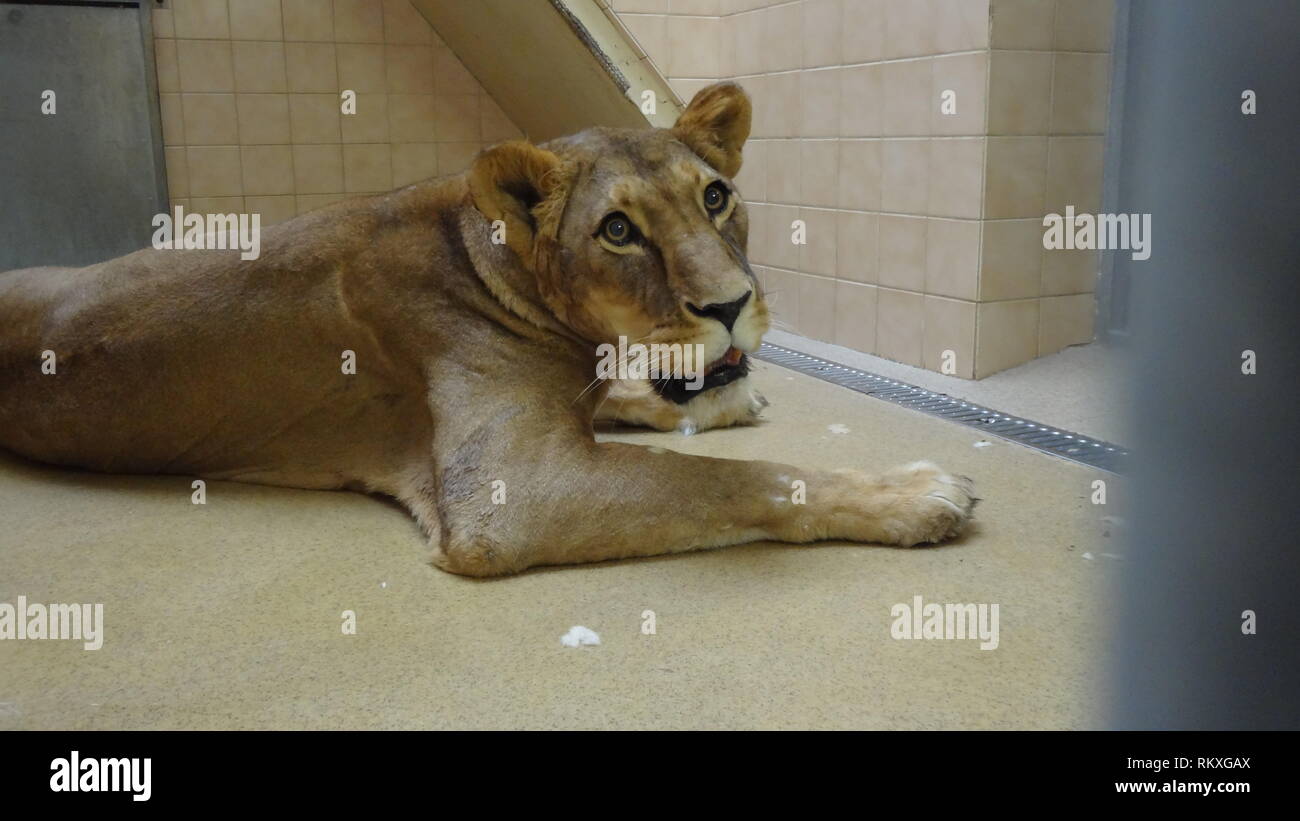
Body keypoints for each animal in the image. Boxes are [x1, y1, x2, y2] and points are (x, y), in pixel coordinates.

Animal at [0, 82, 975, 576]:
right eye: (617, 231)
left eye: (715, 196)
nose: (733, 304)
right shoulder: (511, 492)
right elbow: (737, 481)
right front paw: (917, 492)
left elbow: (632, 398)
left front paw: (726, 402)